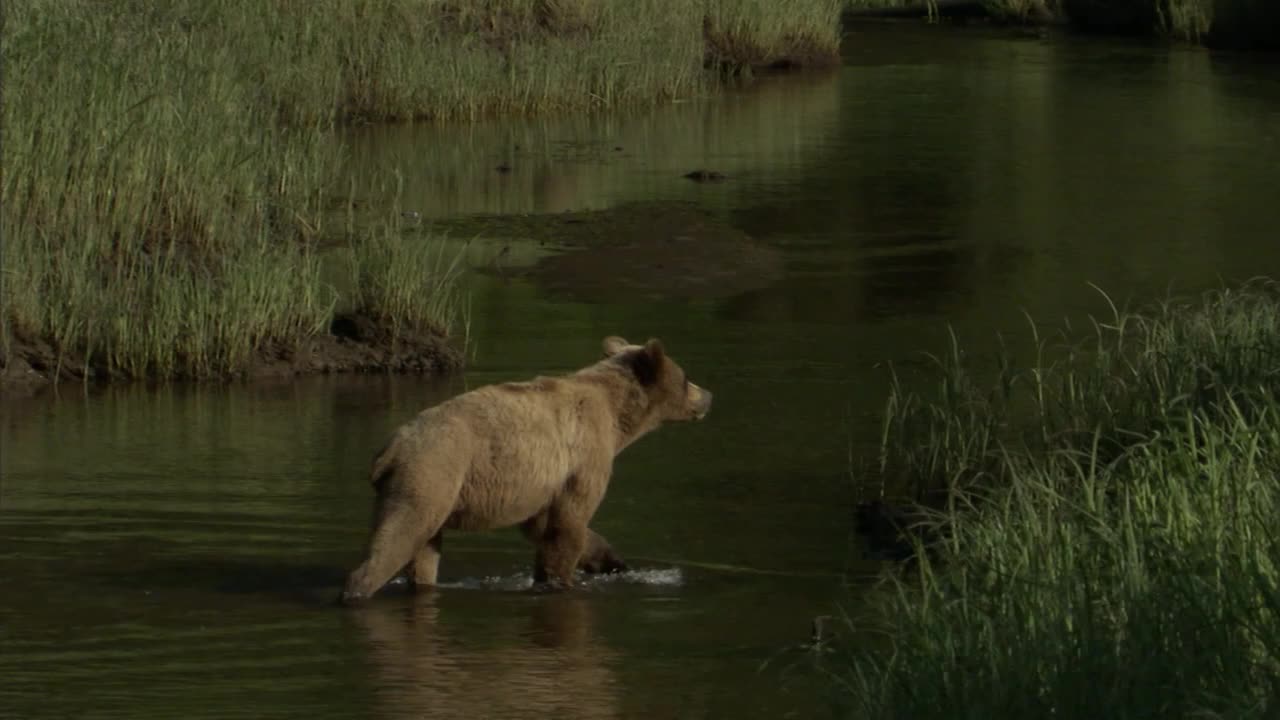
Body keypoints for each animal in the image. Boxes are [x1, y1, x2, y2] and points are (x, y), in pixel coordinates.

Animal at [343, 335, 711, 599]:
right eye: (686, 378)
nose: (708, 395)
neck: (617, 414)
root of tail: (389, 450)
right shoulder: (586, 454)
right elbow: (568, 524)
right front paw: (557, 582)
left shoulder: (547, 483)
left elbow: (545, 525)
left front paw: (612, 561)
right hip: (430, 476)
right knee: (398, 537)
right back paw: (356, 590)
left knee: (424, 553)